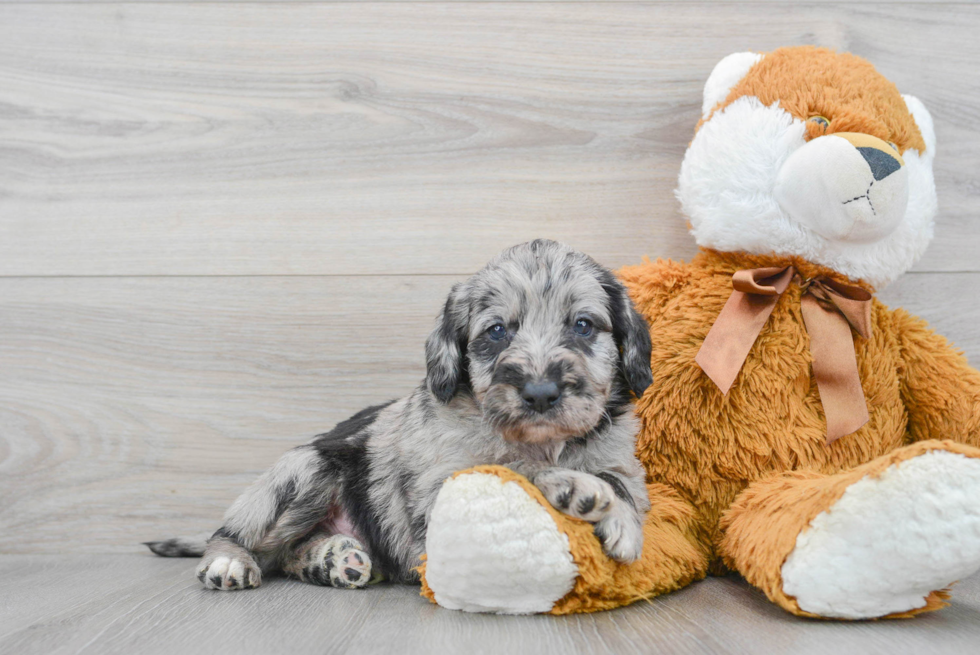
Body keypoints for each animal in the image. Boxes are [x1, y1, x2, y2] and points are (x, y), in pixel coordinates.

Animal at [147, 238, 652, 592]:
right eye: (496, 332)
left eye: (583, 325)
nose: (541, 393)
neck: (544, 442)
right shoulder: (442, 488)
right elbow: (512, 469)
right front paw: (573, 486)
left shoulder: (622, 460)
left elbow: (621, 483)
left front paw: (619, 517)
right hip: (308, 469)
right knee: (239, 535)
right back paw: (229, 560)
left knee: (288, 555)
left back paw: (334, 560)